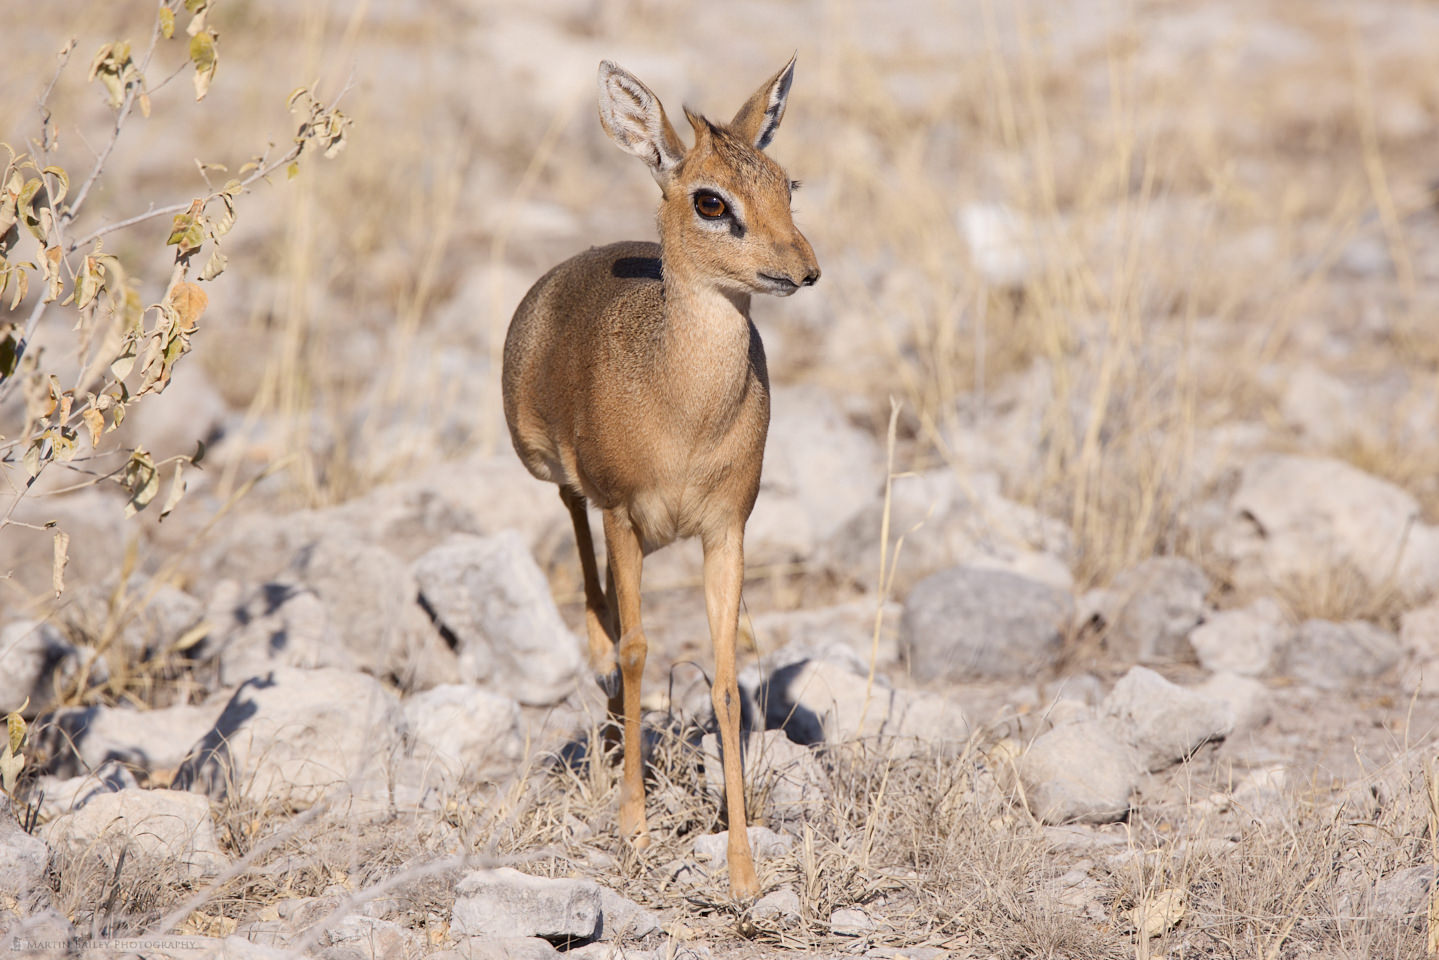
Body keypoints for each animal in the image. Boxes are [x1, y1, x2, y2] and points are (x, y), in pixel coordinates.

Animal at [506, 60, 823, 903]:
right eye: (711, 200)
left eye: (787, 182)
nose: (803, 270)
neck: (686, 410)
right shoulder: (621, 513)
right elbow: (638, 650)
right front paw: (634, 828)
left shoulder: (725, 531)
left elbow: (726, 684)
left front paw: (742, 873)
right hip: (561, 482)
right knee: (592, 587)